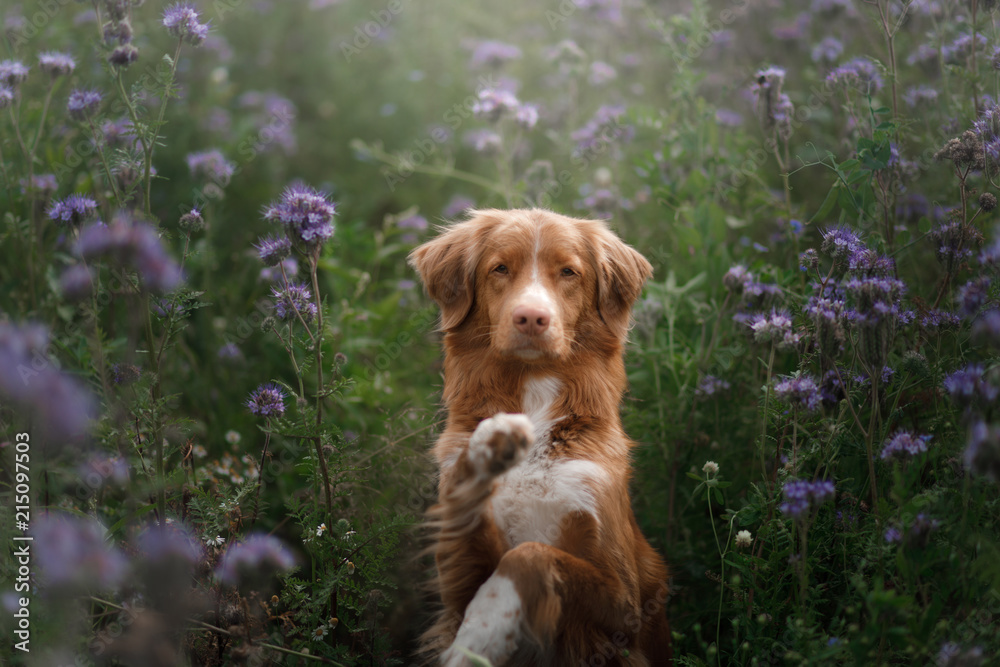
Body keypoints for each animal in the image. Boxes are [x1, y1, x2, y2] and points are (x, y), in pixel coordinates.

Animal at [406, 206, 672, 664]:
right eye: (499, 268)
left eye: (568, 271)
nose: (531, 317)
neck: (533, 389)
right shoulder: (457, 580)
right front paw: (490, 445)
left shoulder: (625, 605)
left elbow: (529, 556)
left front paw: (478, 639)